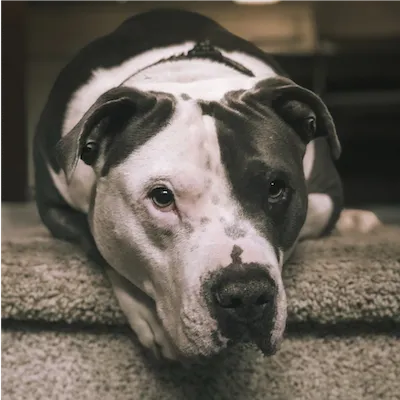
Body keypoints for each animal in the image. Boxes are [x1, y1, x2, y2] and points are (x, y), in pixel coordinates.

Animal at [33, 9, 378, 364]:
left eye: (275, 188)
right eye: (162, 197)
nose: (246, 295)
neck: (189, 76)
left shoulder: (327, 194)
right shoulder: (53, 207)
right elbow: (95, 240)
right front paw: (146, 311)